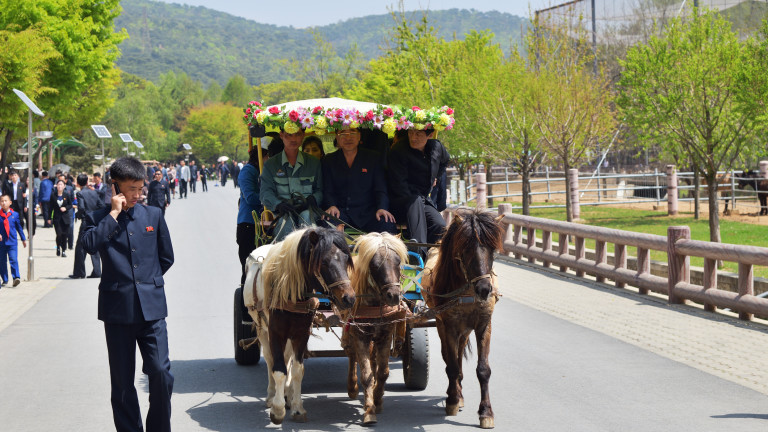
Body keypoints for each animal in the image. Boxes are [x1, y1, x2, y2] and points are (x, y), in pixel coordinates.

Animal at [243, 226, 356, 426]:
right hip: (261, 328)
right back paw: (272, 395)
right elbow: (278, 369)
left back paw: (286, 395)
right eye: (323, 262)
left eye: (345, 259)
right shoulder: (275, 333)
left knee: (287, 358)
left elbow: (296, 369)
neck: (290, 293)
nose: (349, 298)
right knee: (270, 359)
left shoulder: (301, 333)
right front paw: (277, 410)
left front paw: (296, 408)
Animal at [340, 233, 408, 426]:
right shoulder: (360, 335)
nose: (394, 296)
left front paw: (377, 400)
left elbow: (383, 372)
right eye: (375, 265)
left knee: (373, 359)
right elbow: (367, 375)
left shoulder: (385, 335)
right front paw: (369, 410)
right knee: (352, 355)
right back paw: (352, 387)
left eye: (398, 262)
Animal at [420, 208, 504, 428]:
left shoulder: (483, 325)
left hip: (465, 330)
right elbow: (451, 366)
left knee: (458, 354)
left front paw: (486, 412)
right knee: (450, 358)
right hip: (444, 325)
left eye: (493, 250)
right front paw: (452, 400)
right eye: (465, 249)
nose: (484, 289)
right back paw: (455, 394)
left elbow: (483, 370)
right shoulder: (449, 325)